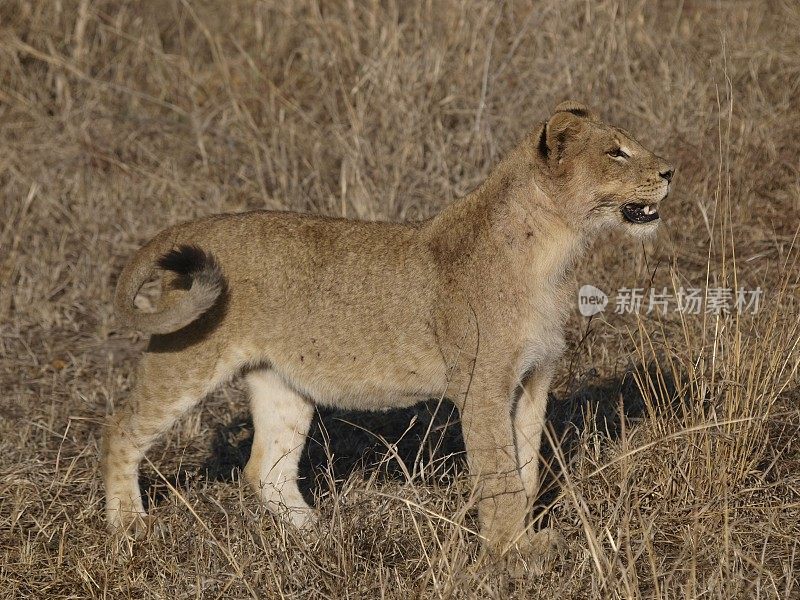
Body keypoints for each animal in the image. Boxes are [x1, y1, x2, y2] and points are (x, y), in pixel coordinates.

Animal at [101, 101, 676, 568]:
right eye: (616, 152)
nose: (670, 171)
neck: (555, 254)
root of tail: (199, 225)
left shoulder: (534, 379)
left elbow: (527, 467)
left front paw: (529, 539)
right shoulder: (482, 386)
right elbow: (499, 474)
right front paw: (511, 553)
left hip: (281, 381)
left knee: (266, 469)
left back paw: (323, 533)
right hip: (187, 356)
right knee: (122, 428)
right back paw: (128, 524)